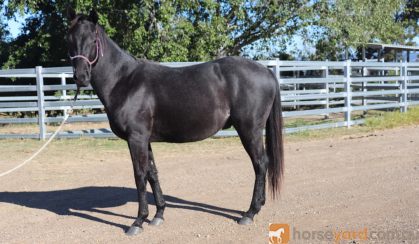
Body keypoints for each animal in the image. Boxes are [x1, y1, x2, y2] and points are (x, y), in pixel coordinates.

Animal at [67, 8, 284, 235]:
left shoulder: (136, 139)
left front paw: (138, 221)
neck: (124, 81)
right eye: (69, 39)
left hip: (250, 131)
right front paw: (158, 215)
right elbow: (152, 174)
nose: (81, 77)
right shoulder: (145, 140)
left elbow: (139, 175)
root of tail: (266, 71)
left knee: (260, 164)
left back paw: (250, 213)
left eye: (93, 40)